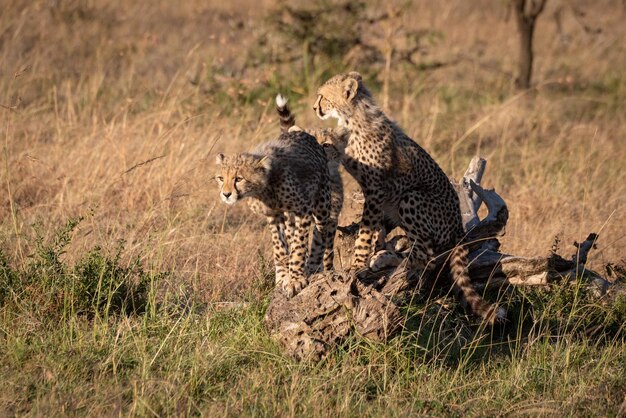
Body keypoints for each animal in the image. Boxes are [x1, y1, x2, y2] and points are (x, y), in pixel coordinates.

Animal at [213, 97, 336, 296]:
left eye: (238, 178)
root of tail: (302, 133)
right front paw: (283, 278)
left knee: (321, 234)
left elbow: (299, 246)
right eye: (221, 178)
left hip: (322, 202)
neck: (265, 188)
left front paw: (295, 279)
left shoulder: (303, 210)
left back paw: (314, 265)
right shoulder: (273, 215)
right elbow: (279, 248)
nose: (226, 194)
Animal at [312, 71, 502, 324]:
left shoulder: (375, 189)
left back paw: (389, 261)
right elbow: (376, 229)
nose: (314, 107)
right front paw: (375, 248)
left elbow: (365, 231)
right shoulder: (376, 193)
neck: (354, 118)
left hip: (411, 196)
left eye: (323, 96)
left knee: (424, 257)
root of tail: (459, 232)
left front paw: (357, 264)